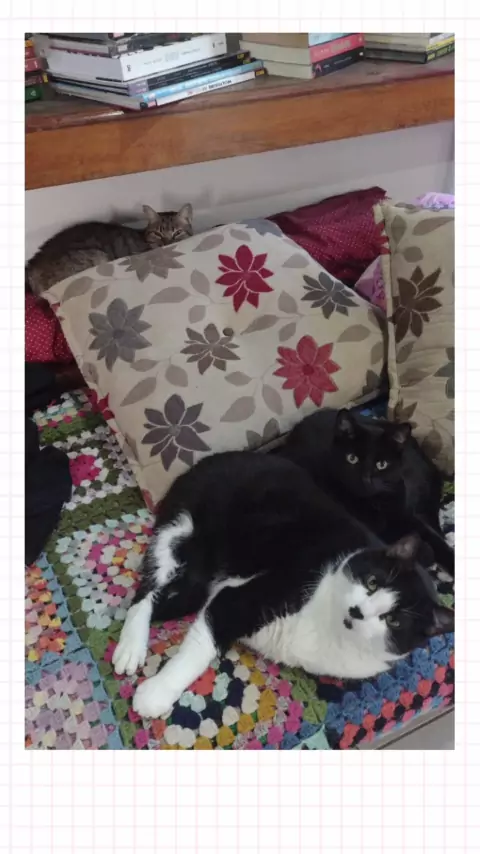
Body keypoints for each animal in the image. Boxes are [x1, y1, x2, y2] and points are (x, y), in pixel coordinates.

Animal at [112, 450, 453, 720]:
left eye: (394, 620)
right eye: (372, 582)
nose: (358, 611)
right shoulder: (246, 596)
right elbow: (200, 647)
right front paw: (155, 695)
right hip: (179, 530)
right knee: (146, 593)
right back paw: (131, 648)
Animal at [278, 407, 454, 574]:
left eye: (381, 464)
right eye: (352, 458)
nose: (365, 478)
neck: (374, 503)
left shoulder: (406, 516)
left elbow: (437, 542)